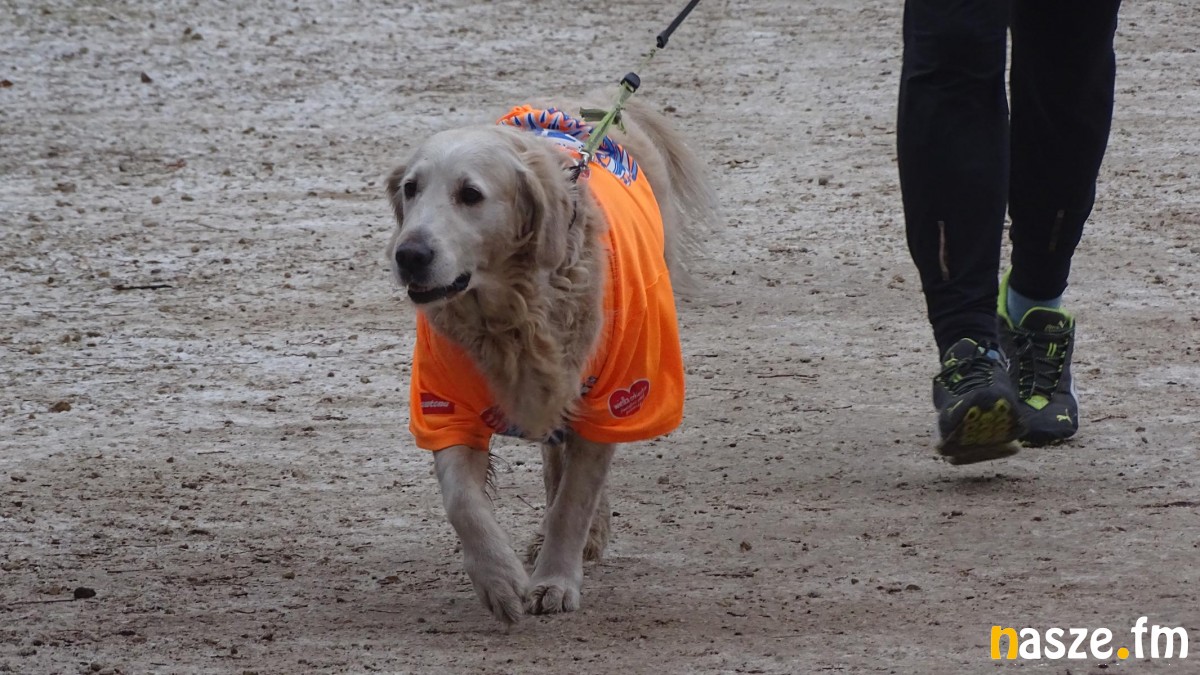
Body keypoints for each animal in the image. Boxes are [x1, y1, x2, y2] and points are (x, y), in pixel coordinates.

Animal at [384, 98, 715, 623]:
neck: (512, 315)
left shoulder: (613, 399)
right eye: (410, 188)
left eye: (470, 194)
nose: (409, 254)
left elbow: (573, 502)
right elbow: (462, 502)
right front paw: (498, 580)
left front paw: (555, 580)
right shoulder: (443, 405)